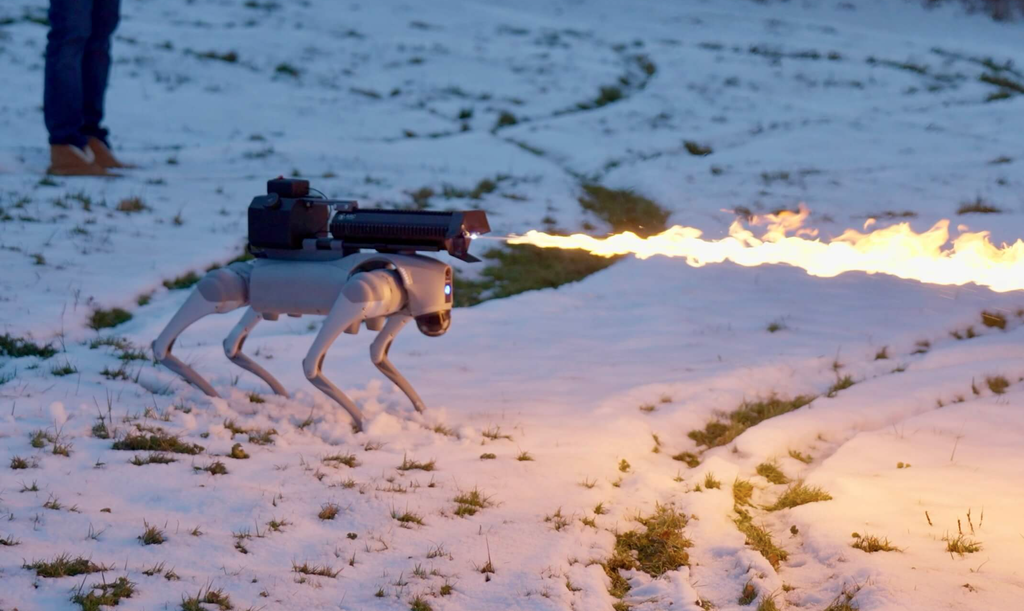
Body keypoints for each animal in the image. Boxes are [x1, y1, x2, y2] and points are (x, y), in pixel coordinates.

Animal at [149, 179, 489, 431]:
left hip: (261, 292)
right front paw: (363, 423)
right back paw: (212, 395)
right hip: (240, 284)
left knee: (231, 342)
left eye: (447, 291)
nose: (440, 324)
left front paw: (421, 412)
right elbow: (312, 364)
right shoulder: (361, 290)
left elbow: (377, 354)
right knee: (198, 303)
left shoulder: (401, 309)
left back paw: (273, 394)